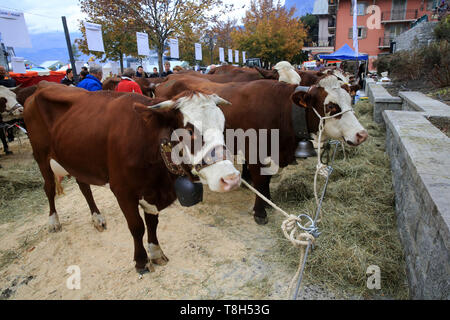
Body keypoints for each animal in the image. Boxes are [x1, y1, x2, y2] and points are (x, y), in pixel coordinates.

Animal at [24, 82, 241, 272]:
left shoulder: (152, 191)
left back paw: (97, 218)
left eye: (223, 126)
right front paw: (141, 261)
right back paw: (53, 222)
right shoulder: (123, 191)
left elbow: (152, 223)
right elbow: (137, 227)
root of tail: (42, 87)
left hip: (75, 158)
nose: (230, 178)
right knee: (49, 188)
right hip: (40, 155)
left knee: (83, 186)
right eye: (188, 130)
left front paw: (156, 253)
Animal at [155, 74, 366, 225]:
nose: (362, 134)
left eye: (350, 100)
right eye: (331, 106)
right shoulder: (256, 153)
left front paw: (268, 201)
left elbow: (267, 180)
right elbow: (260, 181)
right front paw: (260, 211)